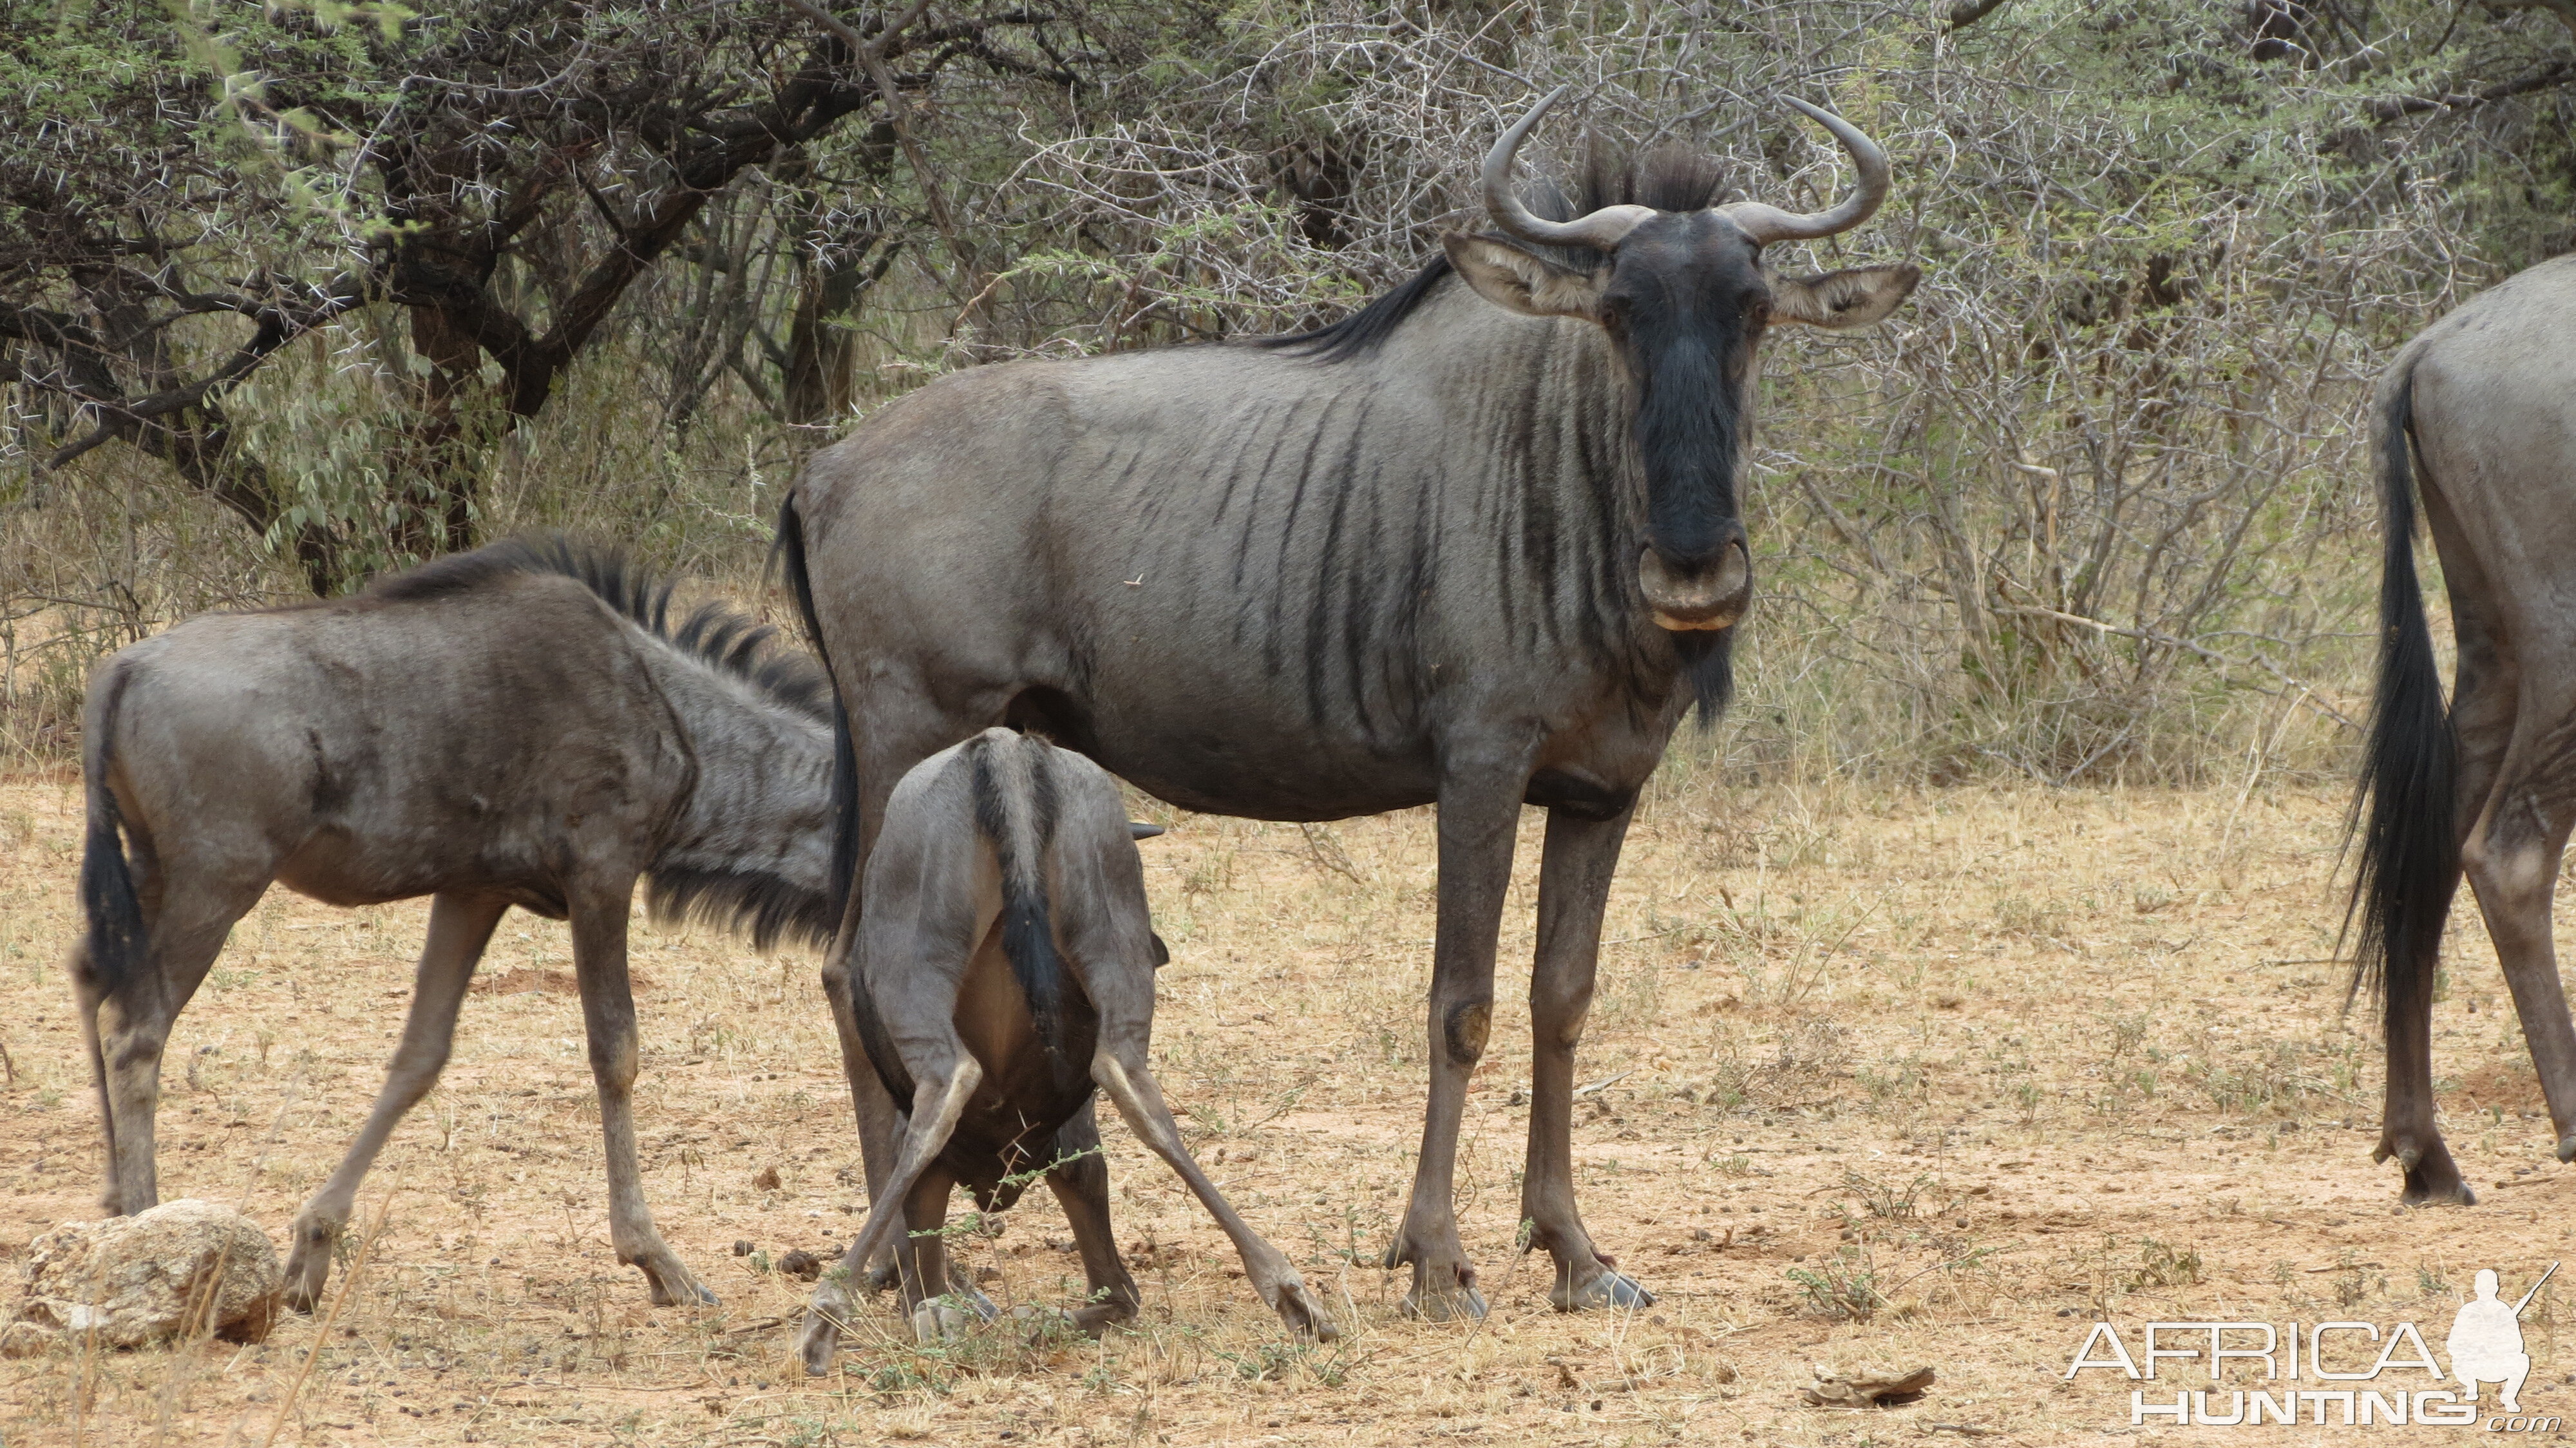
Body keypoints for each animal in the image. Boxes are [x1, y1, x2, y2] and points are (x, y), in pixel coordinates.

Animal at [793, 727, 1340, 1371]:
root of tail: (1004, 746)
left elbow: (926, 1266)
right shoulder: (1073, 1139)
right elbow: (1115, 1283)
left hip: (918, 964)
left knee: (947, 1086)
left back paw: (826, 1314)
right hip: (1111, 934)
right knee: (1131, 1085)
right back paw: (1290, 1291)